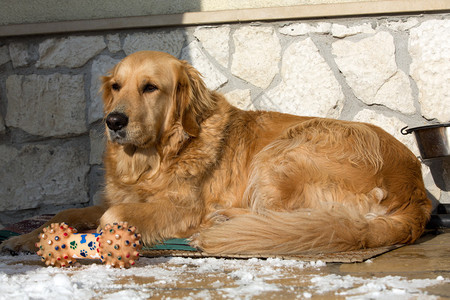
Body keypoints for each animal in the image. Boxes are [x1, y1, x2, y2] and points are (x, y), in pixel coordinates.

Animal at [0, 50, 432, 254]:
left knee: (280, 216)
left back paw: (220, 222)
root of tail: (415, 191)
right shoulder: (121, 194)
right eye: (117, 86)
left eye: (150, 87)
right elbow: (68, 212)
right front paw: (27, 238)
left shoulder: (181, 207)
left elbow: (111, 215)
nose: (114, 121)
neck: (154, 159)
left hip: (286, 148)